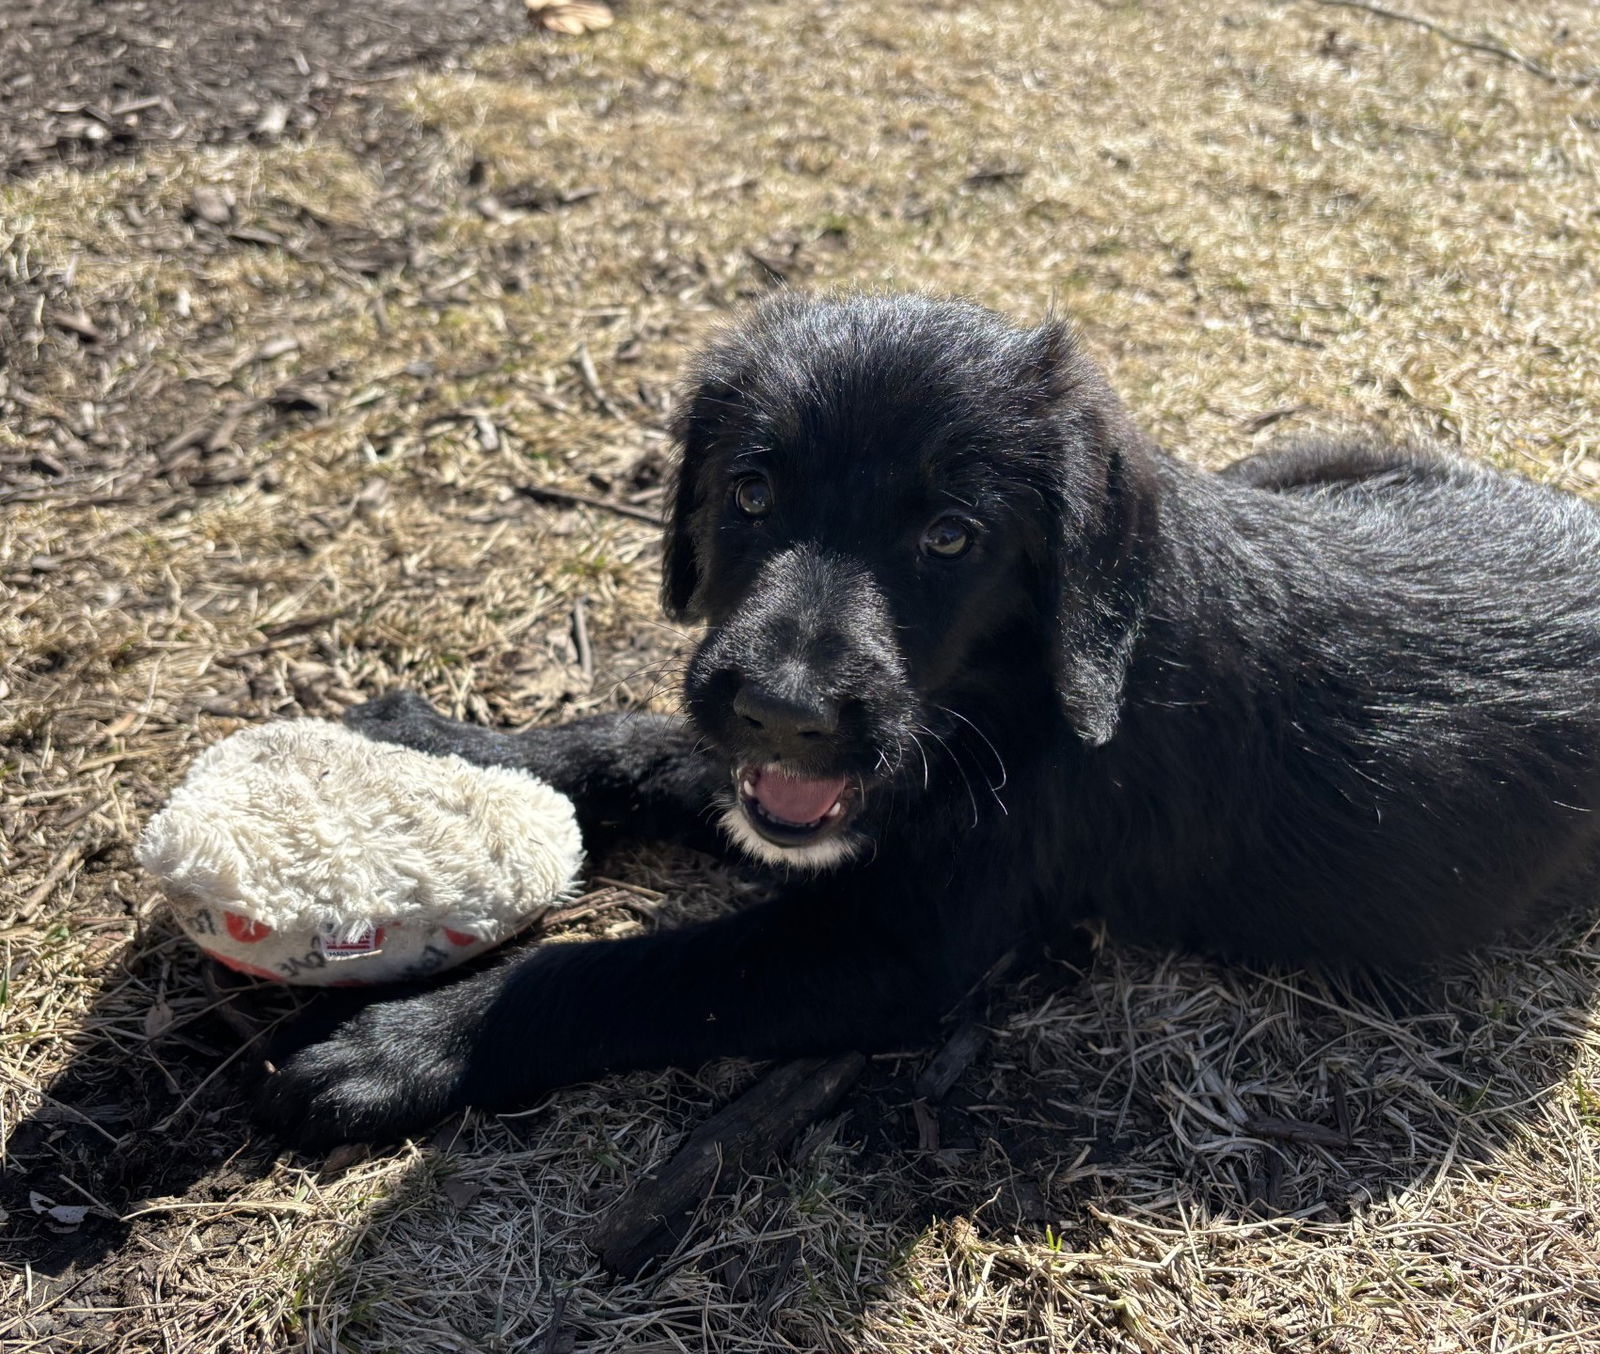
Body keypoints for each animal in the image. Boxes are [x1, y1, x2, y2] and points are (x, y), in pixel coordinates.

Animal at [256, 294, 1600, 1145]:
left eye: (950, 536)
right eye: (751, 491)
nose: (783, 713)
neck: (1014, 695)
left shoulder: (902, 944)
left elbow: (631, 969)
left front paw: (406, 1046)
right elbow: (635, 741)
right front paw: (445, 744)